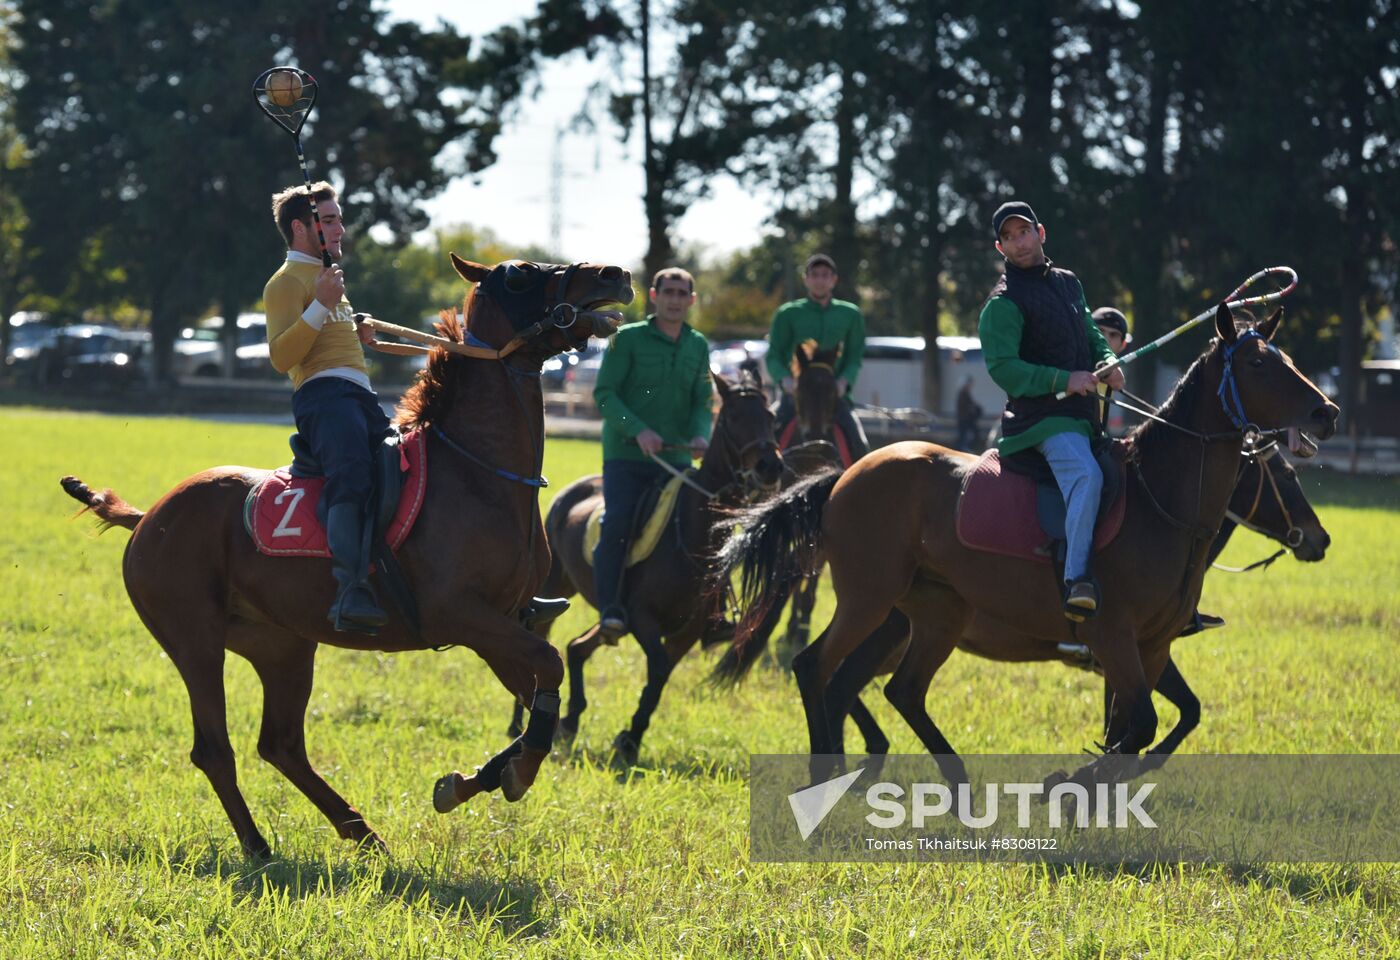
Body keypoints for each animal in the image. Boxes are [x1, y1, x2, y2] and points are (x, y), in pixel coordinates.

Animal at [61, 256, 635, 856]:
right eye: (522, 274)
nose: (613, 274)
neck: (478, 472)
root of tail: (149, 517)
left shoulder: (501, 627)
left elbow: (537, 694)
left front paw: (467, 781)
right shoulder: (461, 616)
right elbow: (548, 671)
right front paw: (514, 774)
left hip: (283, 647)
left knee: (281, 744)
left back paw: (361, 832)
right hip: (194, 642)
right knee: (215, 749)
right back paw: (259, 847)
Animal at [716, 306, 1338, 789]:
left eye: (1285, 358)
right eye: (1258, 363)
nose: (1326, 412)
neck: (1159, 501)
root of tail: (843, 477)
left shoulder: (1153, 646)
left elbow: (1159, 723)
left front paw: (1099, 791)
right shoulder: (1113, 638)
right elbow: (1139, 725)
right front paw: (1070, 784)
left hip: (935, 613)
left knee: (894, 689)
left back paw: (951, 788)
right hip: (870, 600)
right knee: (816, 667)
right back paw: (828, 774)